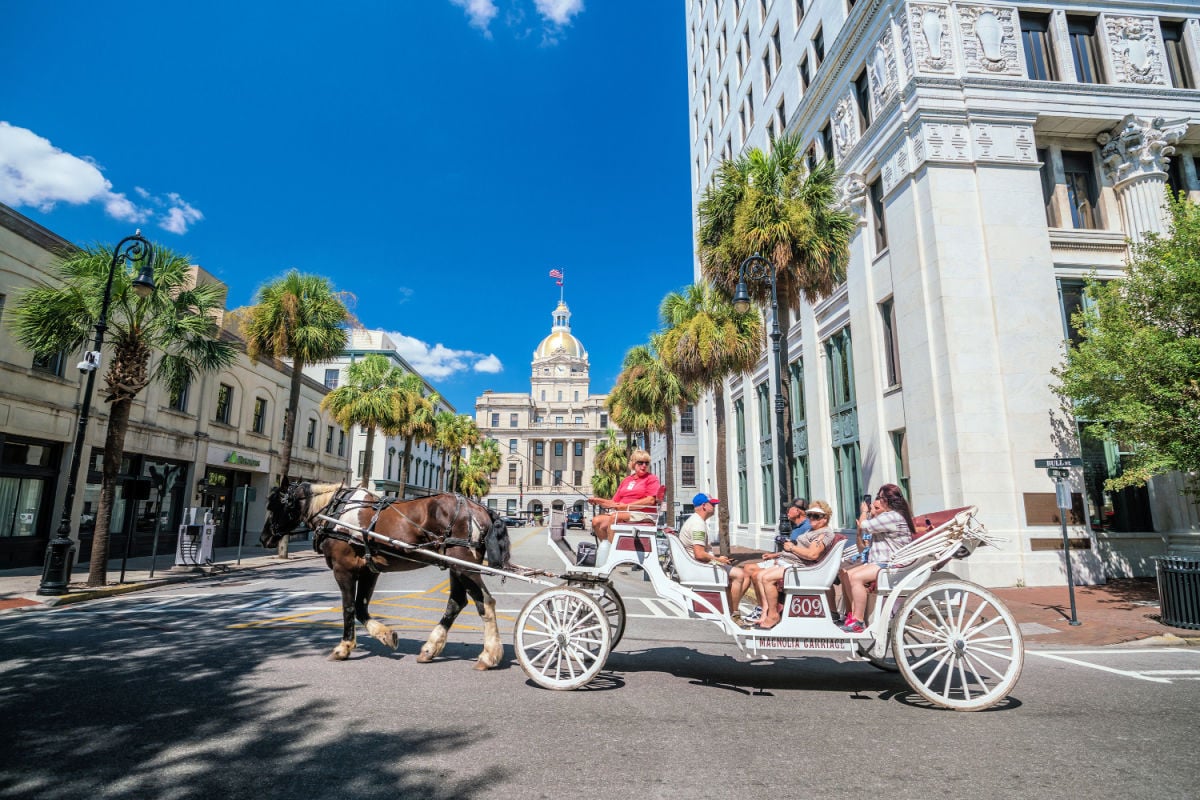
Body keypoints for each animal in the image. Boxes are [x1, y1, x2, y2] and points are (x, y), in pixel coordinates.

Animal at [260, 482, 508, 671]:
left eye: (273, 506)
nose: (264, 538)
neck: (335, 513)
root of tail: (479, 509)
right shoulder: (369, 571)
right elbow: (361, 608)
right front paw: (387, 635)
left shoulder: (343, 570)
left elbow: (349, 607)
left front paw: (343, 647)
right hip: (456, 566)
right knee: (456, 602)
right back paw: (430, 649)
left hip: (463, 566)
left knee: (485, 602)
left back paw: (489, 655)